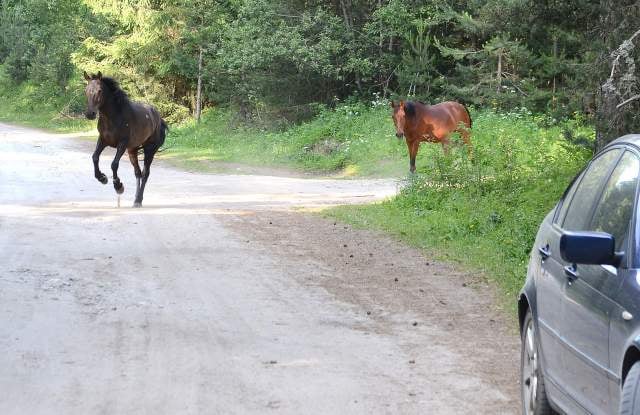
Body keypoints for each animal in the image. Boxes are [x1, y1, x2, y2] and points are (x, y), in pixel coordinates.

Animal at [83, 72, 168, 208]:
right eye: (86, 90)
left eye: (100, 90)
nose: (90, 114)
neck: (113, 117)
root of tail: (158, 117)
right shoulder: (103, 140)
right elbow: (95, 157)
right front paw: (102, 178)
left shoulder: (122, 144)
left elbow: (114, 164)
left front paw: (118, 186)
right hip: (132, 150)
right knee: (138, 173)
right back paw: (135, 200)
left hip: (149, 150)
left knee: (145, 173)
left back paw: (138, 200)